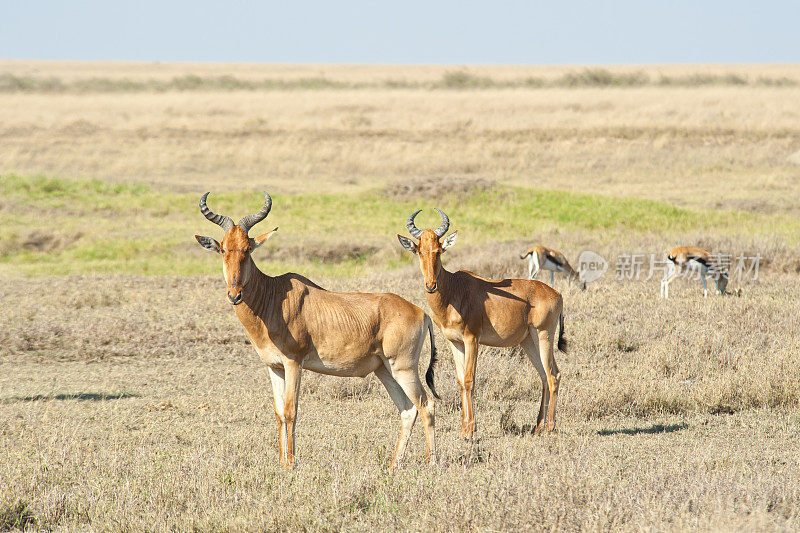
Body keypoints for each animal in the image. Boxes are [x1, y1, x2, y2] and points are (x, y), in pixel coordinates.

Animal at [197, 191, 440, 466]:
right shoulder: (274, 367)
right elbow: (279, 413)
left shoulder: (294, 362)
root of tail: (421, 313)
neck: (275, 297)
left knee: (426, 405)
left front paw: (290, 464)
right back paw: (393, 466)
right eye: (223, 249)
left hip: (404, 367)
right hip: (385, 370)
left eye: (247, 249)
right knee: (408, 410)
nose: (235, 294)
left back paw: (433, 464)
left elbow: (291, 410)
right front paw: (280, 462)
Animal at [396, 210, 564, 438]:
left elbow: (469, 379)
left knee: (553, 375)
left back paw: (549, 427)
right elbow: (460, 381)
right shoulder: (455, 343)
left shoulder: (472, 339)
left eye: (439, 251)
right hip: (529, 341)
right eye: (419, 251)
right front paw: (462, 430)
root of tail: (557, 294)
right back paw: (537, 427)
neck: (454, 289)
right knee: (544, 376)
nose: (431, 285)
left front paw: (470, 430)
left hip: (544, 334)